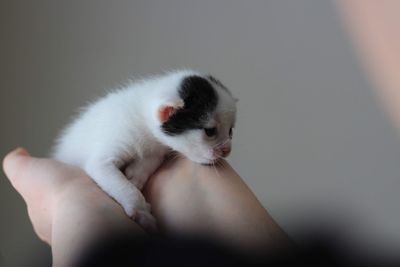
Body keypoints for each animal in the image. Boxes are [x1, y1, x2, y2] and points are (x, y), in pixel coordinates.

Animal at [51, 70, 236, 231]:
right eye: (210, 131)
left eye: (230, 131)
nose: (227, 150)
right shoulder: (106, 153)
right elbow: (118, 182)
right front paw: (141, 211)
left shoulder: (157, 148)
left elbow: (151, 159)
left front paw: (136, 175)